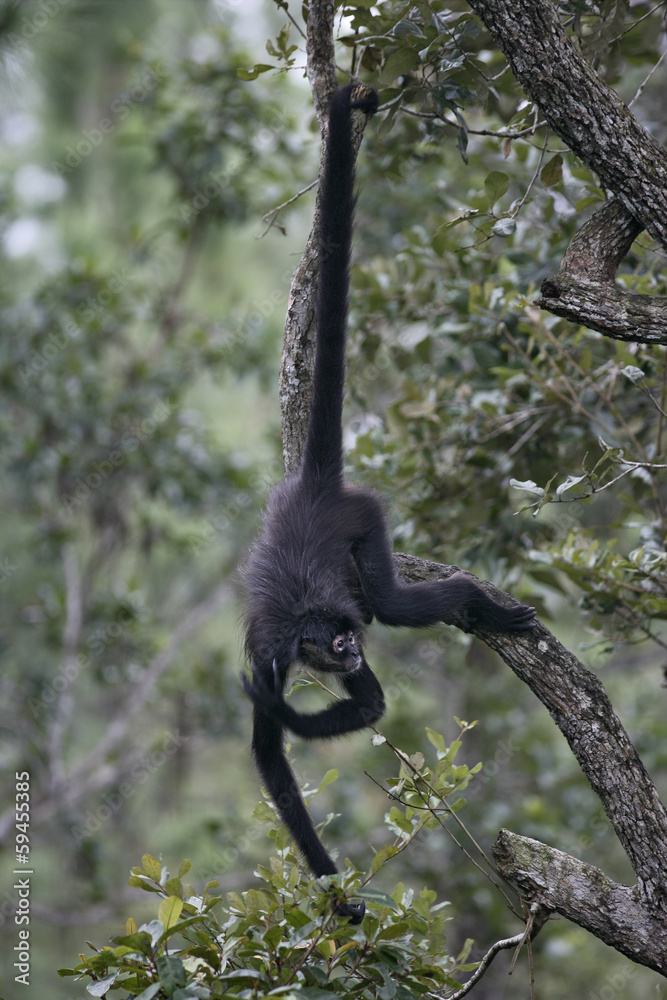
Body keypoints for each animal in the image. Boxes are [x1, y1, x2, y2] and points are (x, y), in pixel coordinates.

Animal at [241, 83, 536, 922]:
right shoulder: (271, 649)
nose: (347, 650)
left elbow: (341, 709)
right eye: (331, 644)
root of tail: (315, 489)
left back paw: (477, 603)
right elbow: (284, 748)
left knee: (393, 602)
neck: (306, 634)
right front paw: (337, 898)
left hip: (363, 516)